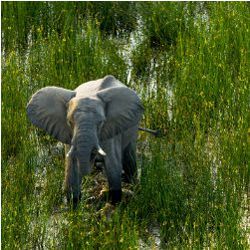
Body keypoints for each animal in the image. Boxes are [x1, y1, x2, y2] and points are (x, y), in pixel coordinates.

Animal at [26, 75, 144, 208]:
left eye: (101, 122)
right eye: (69, 122)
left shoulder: (110, 129)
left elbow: (113, 165)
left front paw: (115, 202)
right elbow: (71, 168)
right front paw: (74, 203)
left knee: (129, 157)